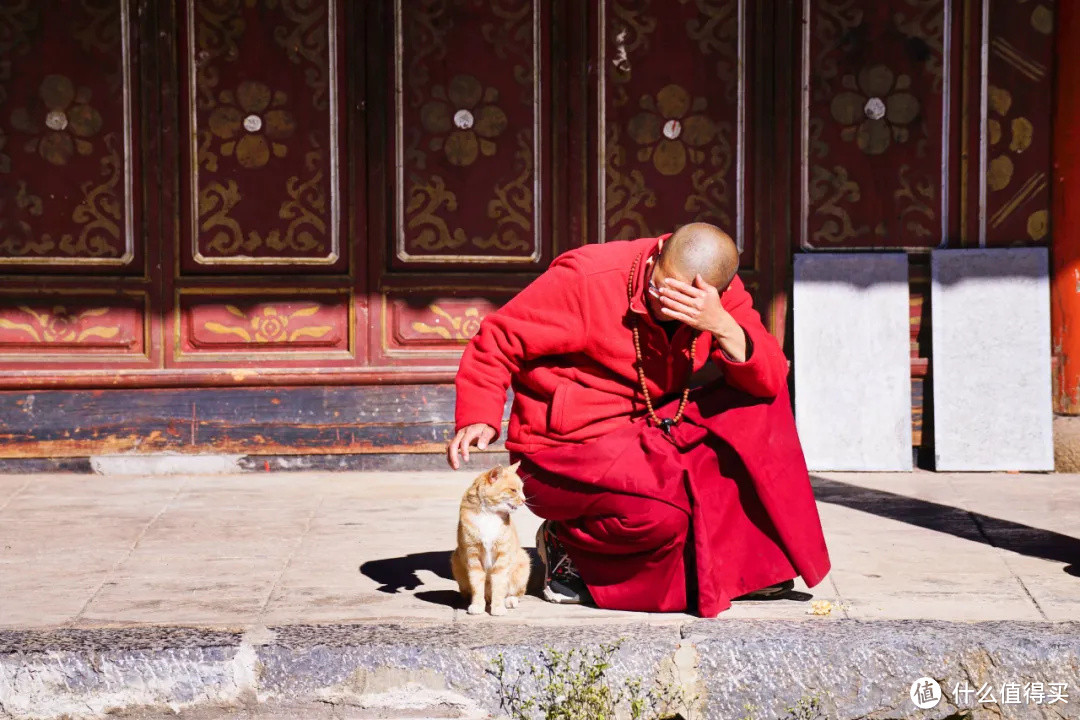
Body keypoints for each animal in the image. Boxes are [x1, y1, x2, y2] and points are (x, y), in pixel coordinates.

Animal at [449, 462, 529, 613]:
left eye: (522, 489)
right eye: (513, 490)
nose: (524, 500)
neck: (489, 514)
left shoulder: (502, 556)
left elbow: (499, 585)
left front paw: (498, 608)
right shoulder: (472, 556)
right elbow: (476, 584)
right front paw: (477, 605)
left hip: (523, 560)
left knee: (516, 593)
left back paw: (509, 600)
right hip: (456, 559)